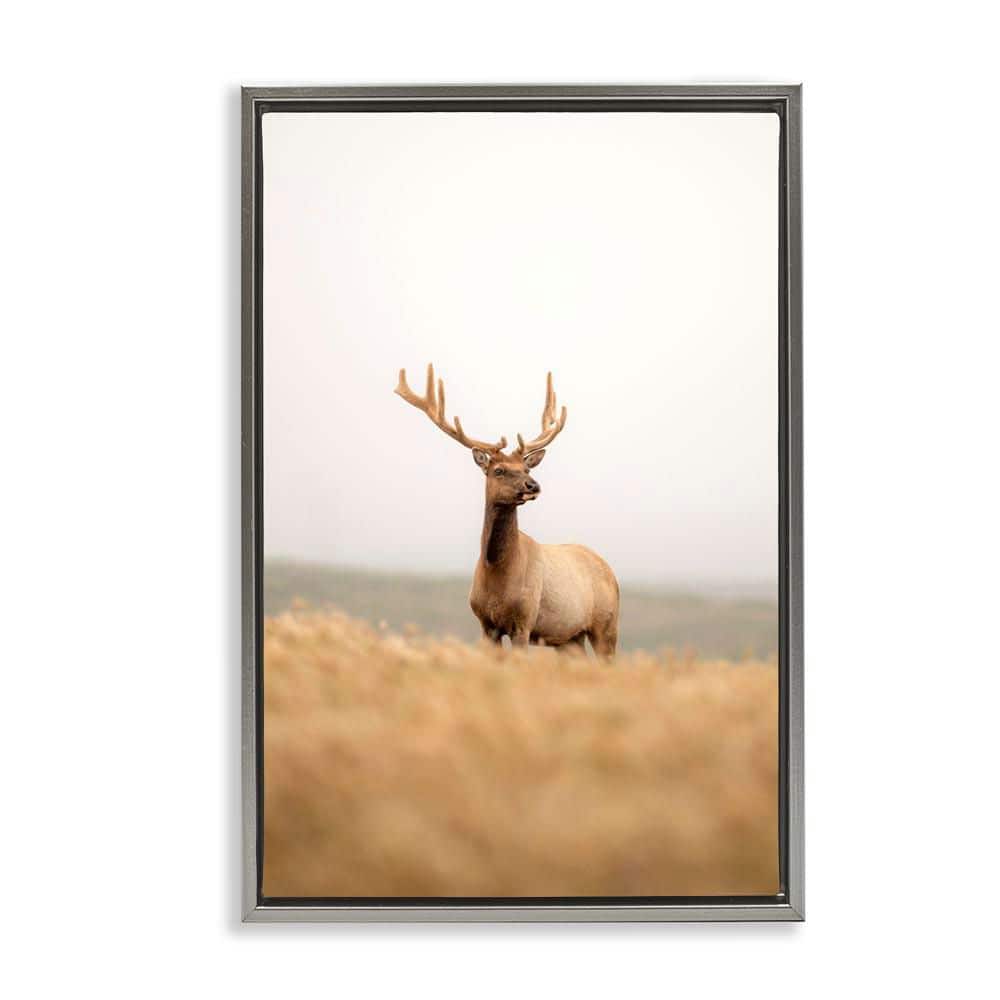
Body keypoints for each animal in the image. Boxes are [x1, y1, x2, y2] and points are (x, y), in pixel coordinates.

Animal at [395, 364, 619, 657]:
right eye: (499, 470)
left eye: (526, 468)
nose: (533, 485)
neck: (497, 576)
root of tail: (611, 572)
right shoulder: (485, 623)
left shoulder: (524, 620)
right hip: (569, 638)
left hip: (606, 624)